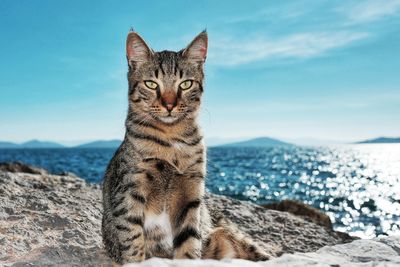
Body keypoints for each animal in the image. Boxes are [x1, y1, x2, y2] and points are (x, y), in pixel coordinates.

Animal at [101, 29, 268, 266]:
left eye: (186, 84)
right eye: (151, 84)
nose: (169, 104)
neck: (171, 138)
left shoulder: (191, 193)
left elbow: (189, 241)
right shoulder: (129, 190)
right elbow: (132, 240)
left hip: (229, 232)